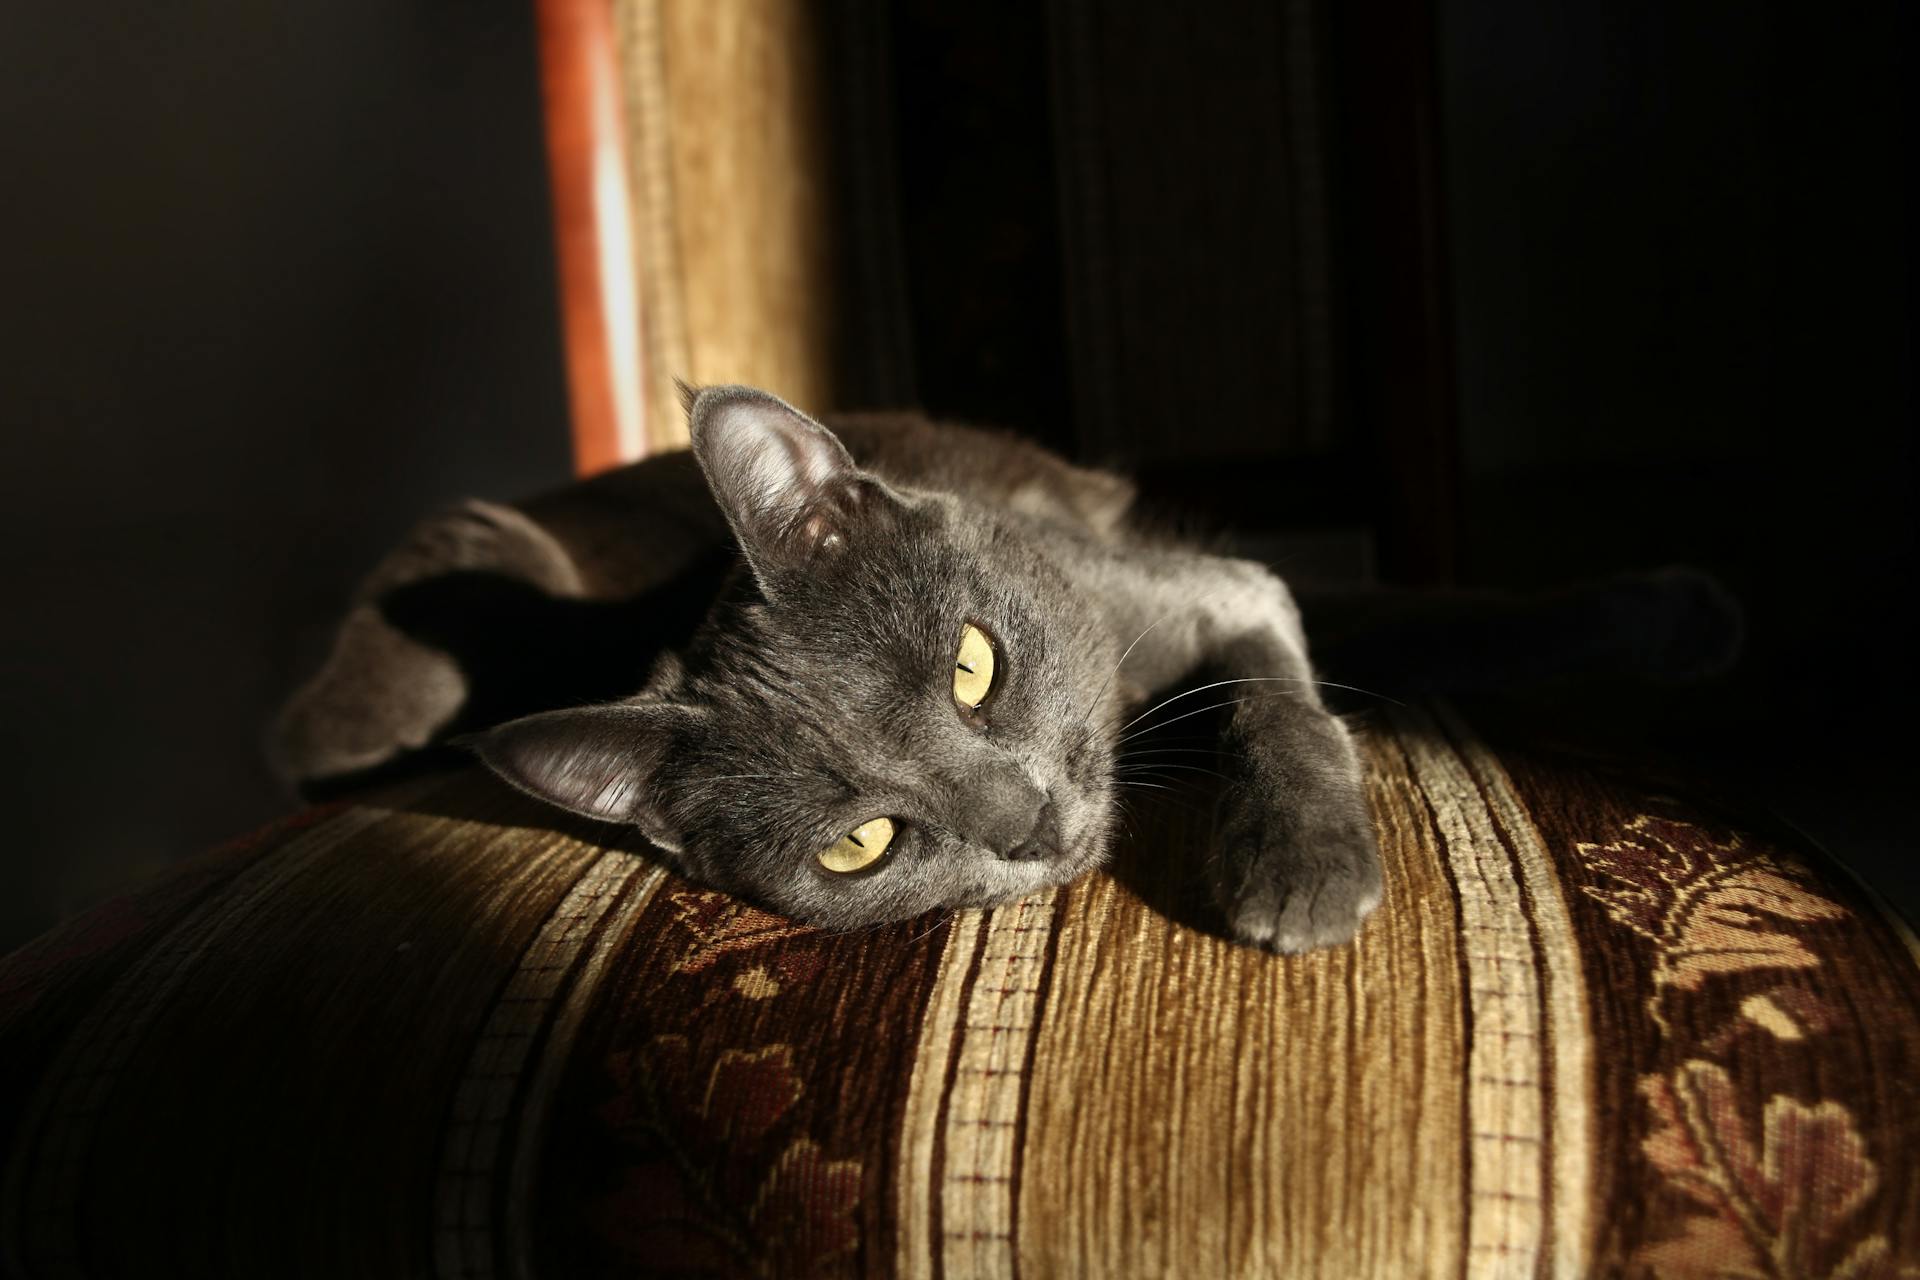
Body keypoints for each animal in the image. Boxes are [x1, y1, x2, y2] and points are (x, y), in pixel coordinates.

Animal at [274, 385, 1743, 955]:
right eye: (861, 843)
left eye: (975, 666)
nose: (1027, 824)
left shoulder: (1208, 591)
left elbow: (1307, 680)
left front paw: (1297, 873)